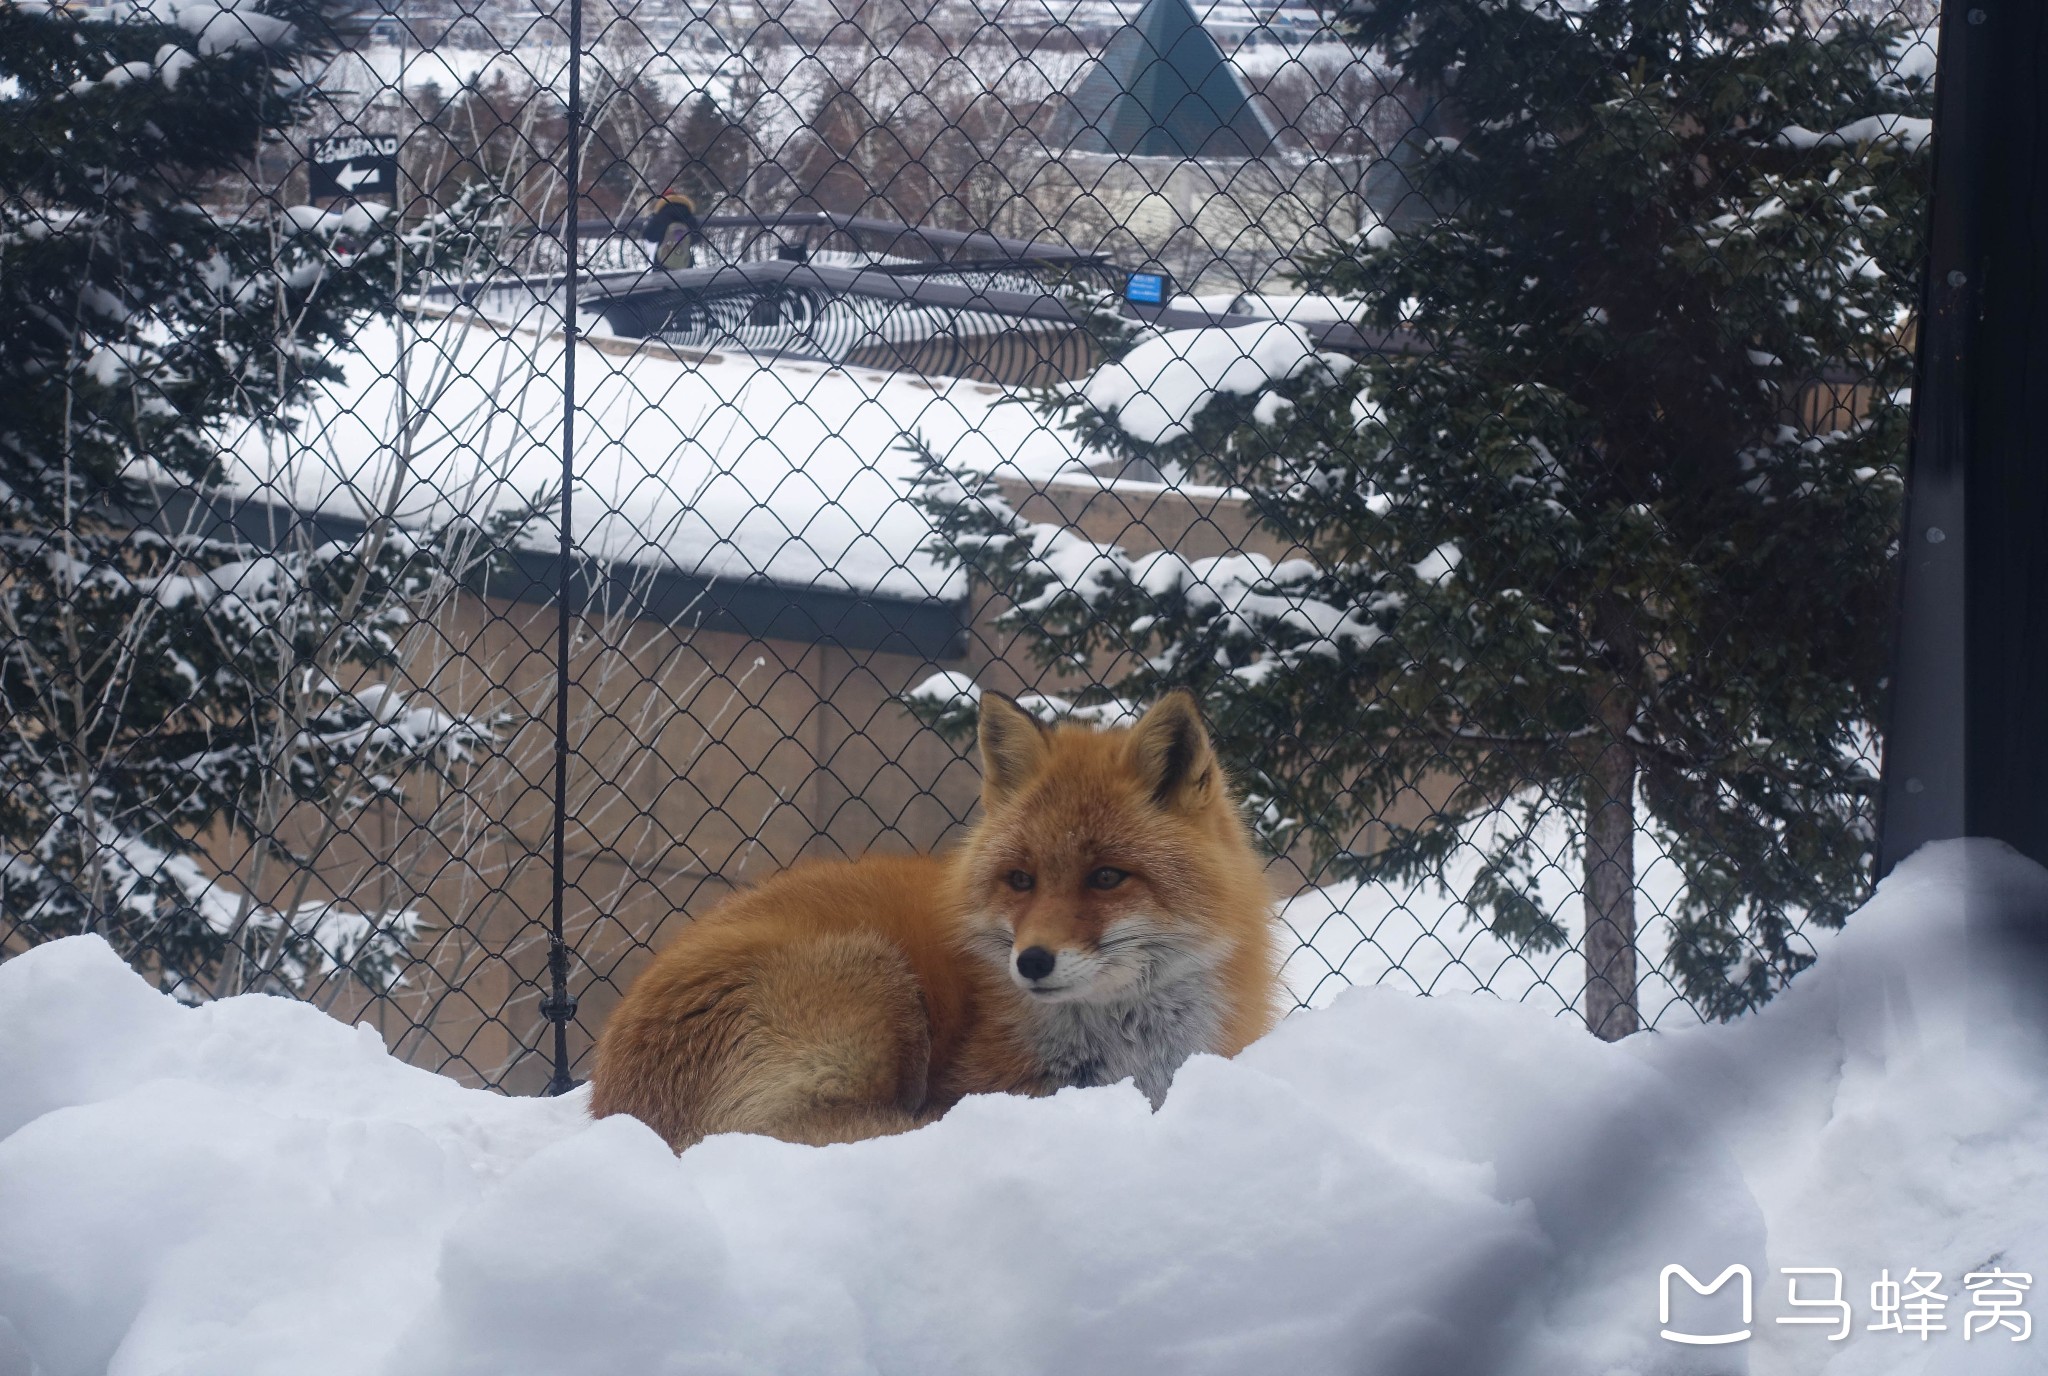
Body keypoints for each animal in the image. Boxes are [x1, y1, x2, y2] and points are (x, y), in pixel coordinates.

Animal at [585, 688, 1277, 1146]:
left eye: (1107, 876)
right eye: (1021, 879)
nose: (1031, 962)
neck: (1133, 1048)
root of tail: (618, 1108)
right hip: (875, 979)